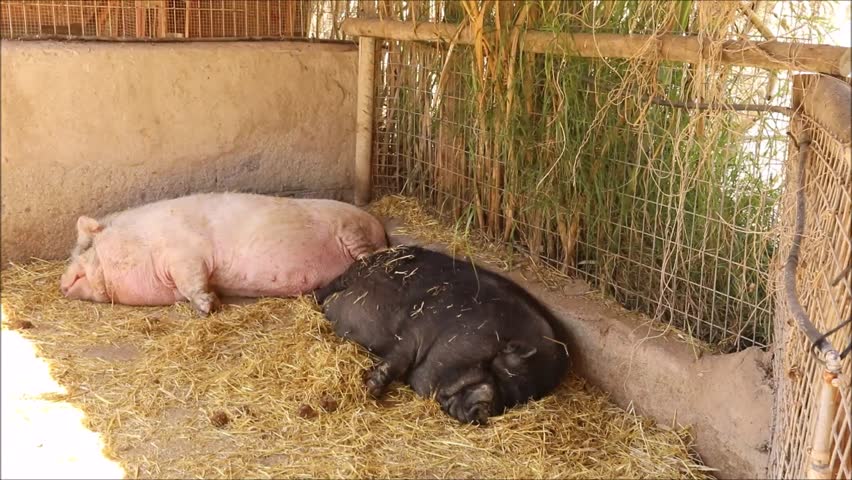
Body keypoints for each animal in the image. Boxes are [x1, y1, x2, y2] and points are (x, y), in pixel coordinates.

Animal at [60, 192, 388, 315]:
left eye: (84, 248)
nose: (61, 283)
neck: (143, 240)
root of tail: (377, 225)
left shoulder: (186, 253)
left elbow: (192, 280)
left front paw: (208, 308)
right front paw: (210, 303)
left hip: (351, 231)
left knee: (369, 254)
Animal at [315, 245, 570, 425]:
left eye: (515, 400)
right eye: (500, 371)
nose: (485, 412)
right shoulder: (416, 329)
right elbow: (397, 359)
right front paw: (370, 389)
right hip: (355, 272)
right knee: (326, 289)